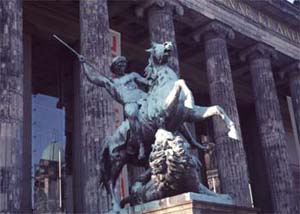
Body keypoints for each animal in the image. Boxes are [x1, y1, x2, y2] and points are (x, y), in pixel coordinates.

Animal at [99, 41, 240, 210]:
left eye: (162, 43)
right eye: (155, 46)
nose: (168, 43)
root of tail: (108, 139)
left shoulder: (190, 115)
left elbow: (217, 108)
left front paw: (233, 131)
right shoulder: (163, 115)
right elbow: (181, 82)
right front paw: (189, 97)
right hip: (116, 160)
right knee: (110, 183)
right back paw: (116, 207)